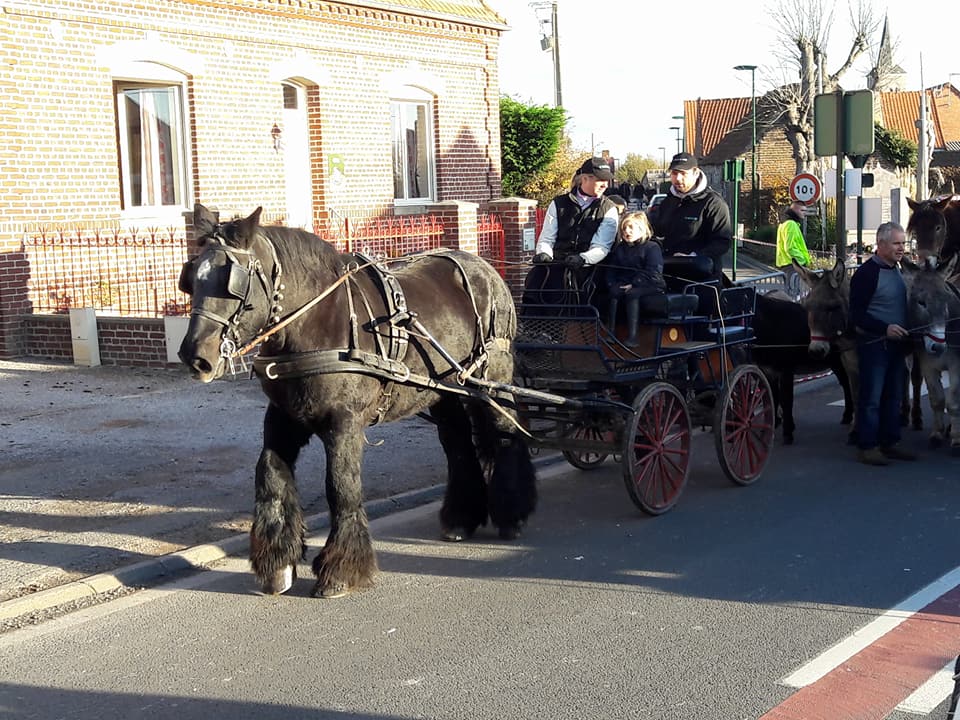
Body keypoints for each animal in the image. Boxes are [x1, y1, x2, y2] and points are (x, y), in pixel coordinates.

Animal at [179, 201, 536, 596]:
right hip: (444, 392)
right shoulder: (283, 418)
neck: (315, 321)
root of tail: (487, 269)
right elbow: (269, 477)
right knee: (458, 445)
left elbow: (341, 486)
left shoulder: (344, 424)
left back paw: (512, 514)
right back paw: (460, 518)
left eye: (233, 284)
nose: (195, 356)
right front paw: (278, 563)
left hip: (492, 379)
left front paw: (341, 570)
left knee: (505, 435)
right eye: (192, 278)